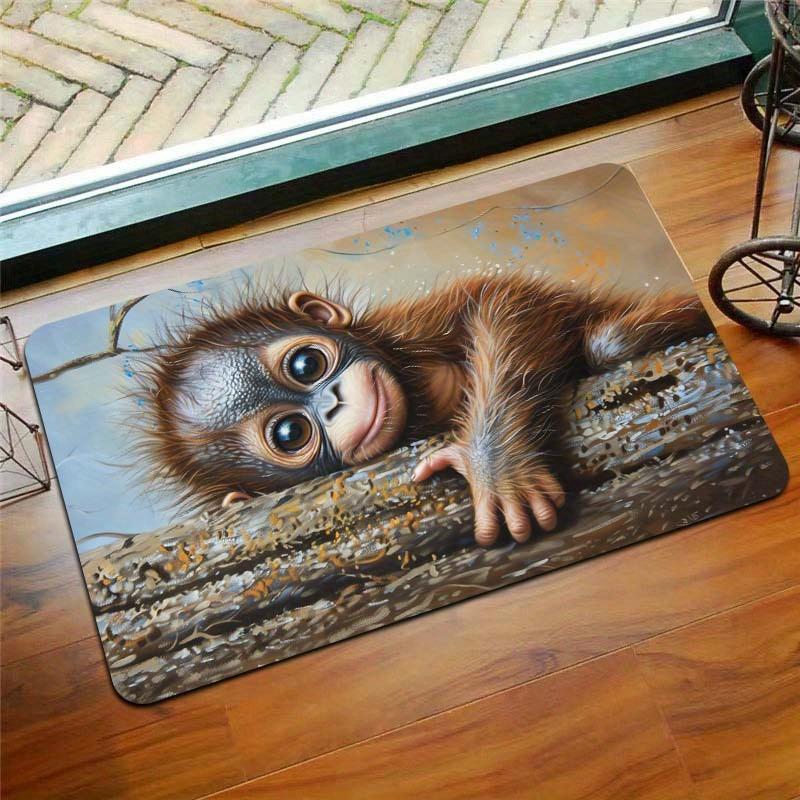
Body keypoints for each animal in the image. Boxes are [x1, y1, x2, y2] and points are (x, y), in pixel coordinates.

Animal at [136, 271, 710, 547]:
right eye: (290, 434)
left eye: (305, 364)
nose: (334, 403)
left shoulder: (406, 327)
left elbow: (498, 299)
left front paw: (495, 466)